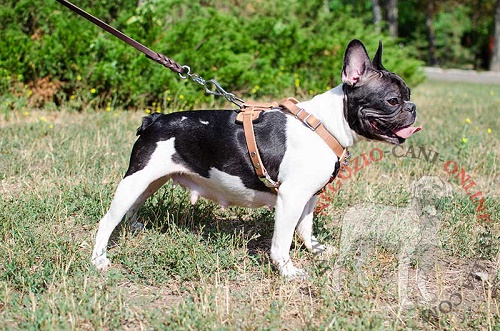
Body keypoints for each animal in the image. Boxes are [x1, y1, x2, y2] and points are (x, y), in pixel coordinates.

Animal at [92, 39, 420, 280]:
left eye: (408, 94)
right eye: (392, 100)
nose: (413, 107)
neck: (325, 124)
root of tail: (156, 119)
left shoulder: (309, 196)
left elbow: (305, 228)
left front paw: (316, 250)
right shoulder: (291, 196)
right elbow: (282, 240)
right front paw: (288, 271)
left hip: (150, 179)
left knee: (133, 206)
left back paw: (134, 228)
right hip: (137, 178)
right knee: (107, 220)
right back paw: (99, 260)